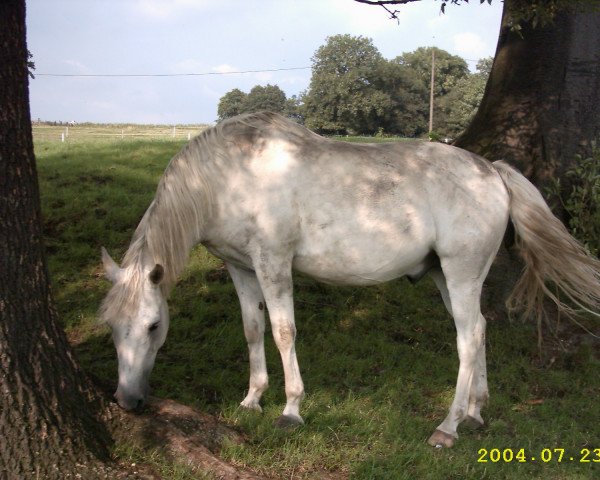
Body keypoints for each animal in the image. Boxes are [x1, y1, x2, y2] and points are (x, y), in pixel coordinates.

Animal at [101, 110, 596, 448]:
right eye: (111, 328)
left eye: (153, 325)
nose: (127, 401)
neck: (230, 175)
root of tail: (492, 170)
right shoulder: (240, 268)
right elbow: (253, 330)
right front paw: (252, 399)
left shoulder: (273, 264)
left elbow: (283, 332)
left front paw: (291, 409)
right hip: (445, 276)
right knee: (480, 330)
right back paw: (475, 412)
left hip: (461, 273)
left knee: (469, 337)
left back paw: (448, 426)